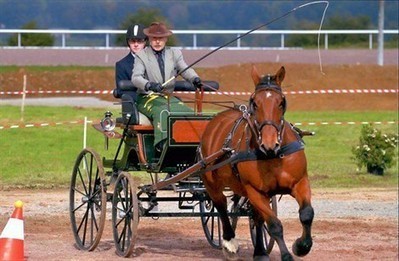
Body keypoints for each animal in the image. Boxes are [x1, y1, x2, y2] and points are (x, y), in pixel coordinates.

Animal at [200, 65, 316, 260]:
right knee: (220, 205)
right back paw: (229, 242)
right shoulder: (255, 191)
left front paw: (302, 246)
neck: (272, 156)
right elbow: (275, 225)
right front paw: (286, 255)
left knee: (255, 216)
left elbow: (307, 214)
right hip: (211, 182)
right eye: (254, 103)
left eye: (281, 102)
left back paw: (260, 251)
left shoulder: (300, 182)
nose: (269, 143)